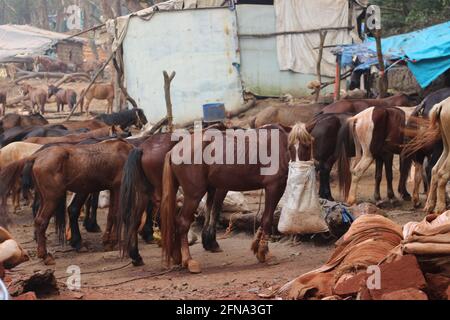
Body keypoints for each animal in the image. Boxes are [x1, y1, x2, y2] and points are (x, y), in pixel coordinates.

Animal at [0, 139, 134, 264]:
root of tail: (36, 156)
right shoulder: (118, 187)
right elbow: (116, 214)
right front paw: (112, 242)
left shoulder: (113, 189)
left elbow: (111, 215)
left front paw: (107, 241)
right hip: (53, 198)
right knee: (41, 221)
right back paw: (45, 256)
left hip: (45, 199)